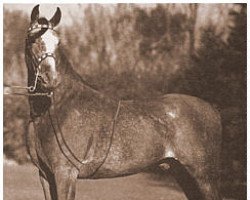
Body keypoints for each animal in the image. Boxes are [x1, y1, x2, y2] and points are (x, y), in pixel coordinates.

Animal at [24, 4, 221, 200]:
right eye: (33, 40)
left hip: (202, 176)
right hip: (181, 172)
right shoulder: (45, 175)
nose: (51, 79)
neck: (55, 109)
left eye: (58, 42)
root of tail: (212, 110)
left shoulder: (65, 173)